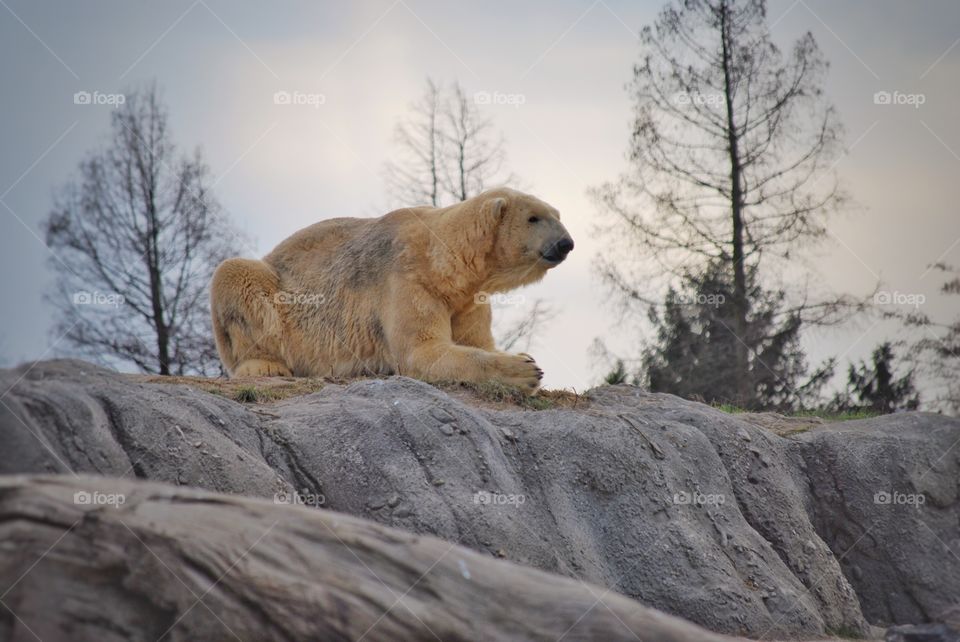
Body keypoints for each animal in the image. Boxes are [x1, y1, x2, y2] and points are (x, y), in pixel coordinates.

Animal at [209, 187, 574, 392]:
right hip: (274, 291)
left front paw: (521, 357)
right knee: (235, 278)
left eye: (557, 214)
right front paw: (525, 369)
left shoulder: (468, 300)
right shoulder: (408, 278)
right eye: (533, 218)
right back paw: (264, 365)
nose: (566, 243)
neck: (444, 259)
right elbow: (421, 351)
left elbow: (476, 341)